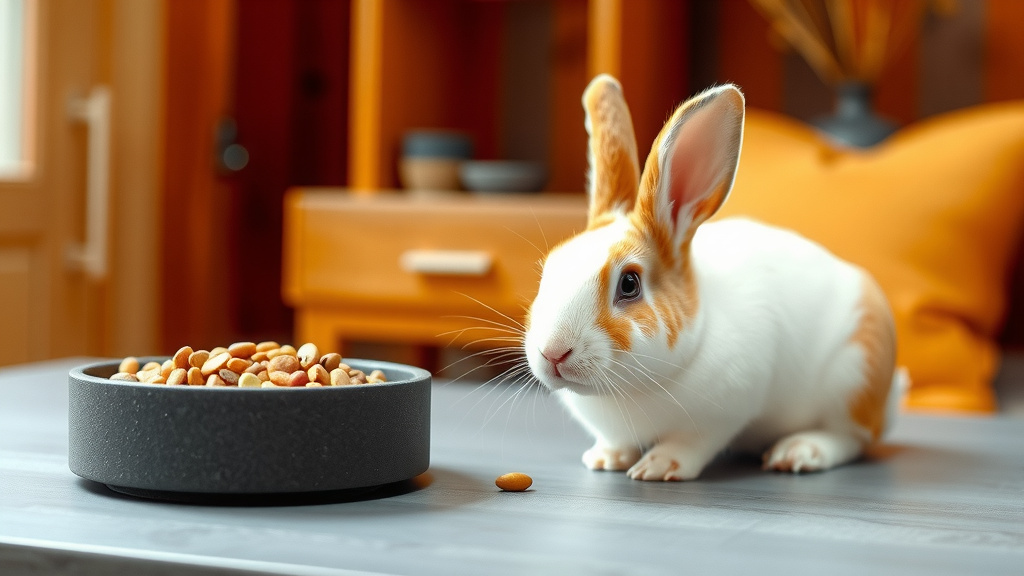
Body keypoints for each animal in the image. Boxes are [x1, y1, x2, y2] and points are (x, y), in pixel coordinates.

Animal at [523, 74, 903, 481]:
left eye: (629, 284)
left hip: (853, 378)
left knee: (852, 437)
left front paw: (658, 467)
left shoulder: (722, 413)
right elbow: (616, 442)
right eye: (549, 268)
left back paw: (798, 452)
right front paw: (605, 459)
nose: (553, 352)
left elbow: (690, 444)